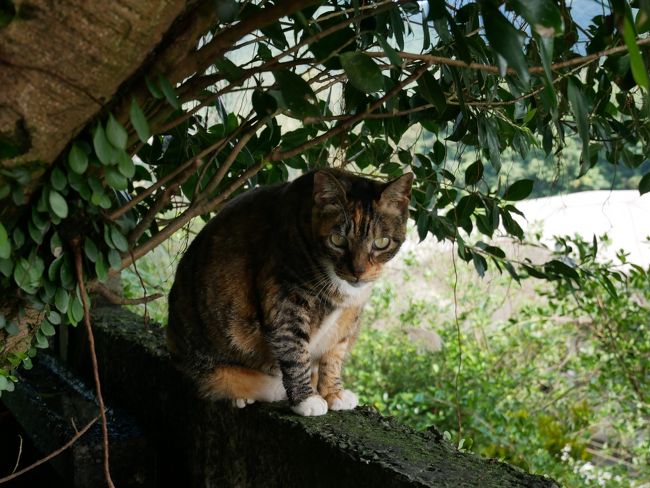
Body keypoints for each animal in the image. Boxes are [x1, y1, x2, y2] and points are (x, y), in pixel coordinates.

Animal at [166, 169, 410, 416]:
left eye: (381, 242)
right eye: (338, 240)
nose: (358, 272)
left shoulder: (349, 314)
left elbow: (334, 353)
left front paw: (333, 393)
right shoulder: (285, 296)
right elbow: (294, 348)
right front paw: (307, 399)